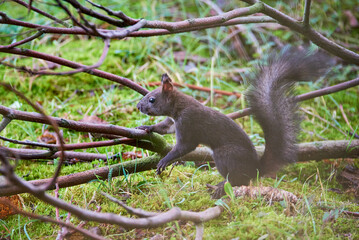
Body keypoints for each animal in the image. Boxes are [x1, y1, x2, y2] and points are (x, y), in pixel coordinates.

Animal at [137, 47, 332, 198]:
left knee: (239, 180)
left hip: (225, 155)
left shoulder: (188, 122)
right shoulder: (173, 122)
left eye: (152, 99)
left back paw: (221, 186)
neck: (178, 107)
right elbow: (164, 128)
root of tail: (255, 169)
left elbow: (185, 147)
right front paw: (147, 127)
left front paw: (165, 160)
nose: (139, 106)